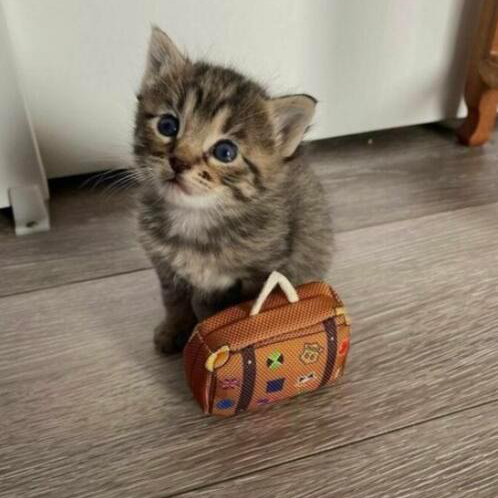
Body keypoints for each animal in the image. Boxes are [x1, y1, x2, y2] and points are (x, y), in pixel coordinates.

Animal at [134, 27, 332, 353]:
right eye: (167, 125)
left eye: (225, 152)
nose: (178, 161)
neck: (195, 219)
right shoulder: (164, 266)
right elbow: (174, 301)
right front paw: (174, 329)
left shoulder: (261, 270)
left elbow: (245, 307)